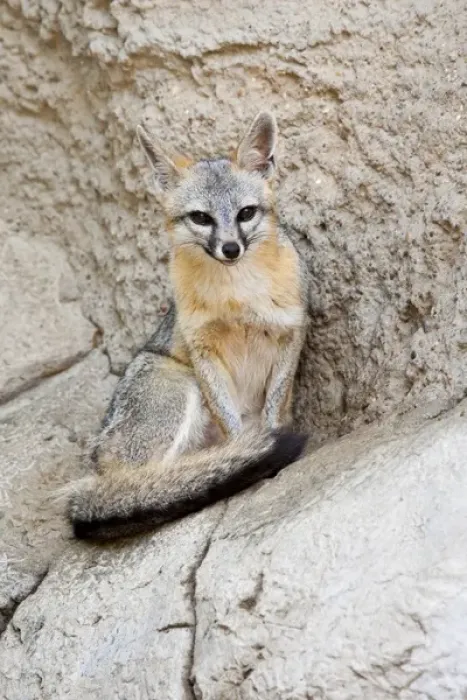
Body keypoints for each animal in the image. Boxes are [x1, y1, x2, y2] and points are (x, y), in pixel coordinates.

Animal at [68, 110, 309, 540]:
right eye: (201, 218)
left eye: (246, 213)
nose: (230, 249)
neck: (237, 297)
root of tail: (95, 462)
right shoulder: (203, 350)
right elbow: (234, 427)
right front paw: (251, 453)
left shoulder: (290, 334)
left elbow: (274, 408)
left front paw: (265, 444)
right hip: (179, 385)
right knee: (141, 485)